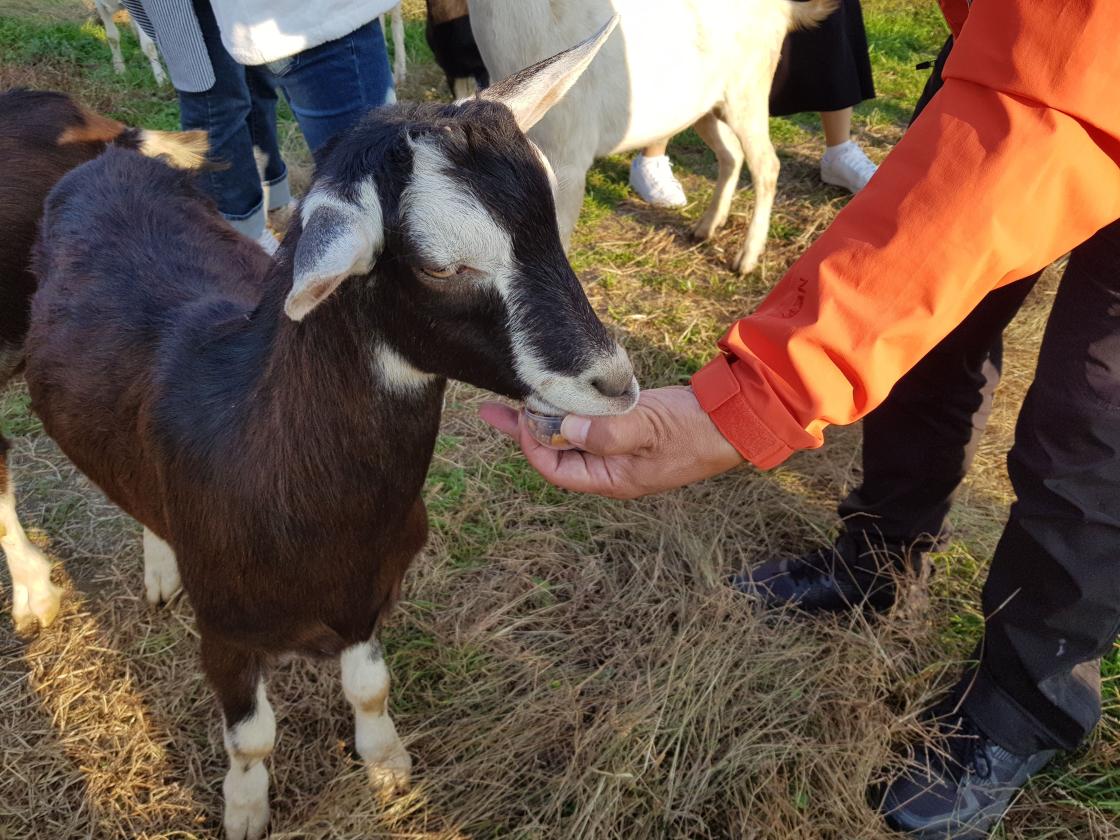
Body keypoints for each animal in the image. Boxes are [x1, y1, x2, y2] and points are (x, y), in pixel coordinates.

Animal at [463, 0, 833, 273]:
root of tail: (784, 10)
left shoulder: (569, 154)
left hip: (749, 92)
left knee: (766, 164)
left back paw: (746, 259)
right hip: (703, 106)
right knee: (732, 154)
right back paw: (706, 227)